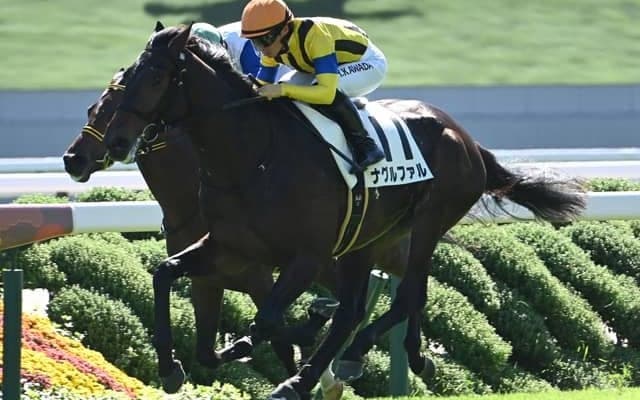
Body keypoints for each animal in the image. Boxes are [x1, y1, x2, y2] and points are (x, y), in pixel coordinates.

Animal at [104, 24, 586, 400]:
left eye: (153, 78)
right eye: (125, 77)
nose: (115, 141)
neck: (252, 156)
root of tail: (466, 137)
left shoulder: (306, 255)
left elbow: (271, 318)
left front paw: (291, 332)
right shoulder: (230, 246)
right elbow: (166, 275)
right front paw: (172, 366)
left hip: (429, 221)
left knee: (400, 296)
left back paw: (337, 362)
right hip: (369, 236)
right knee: (370, 304)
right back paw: (341, 368)